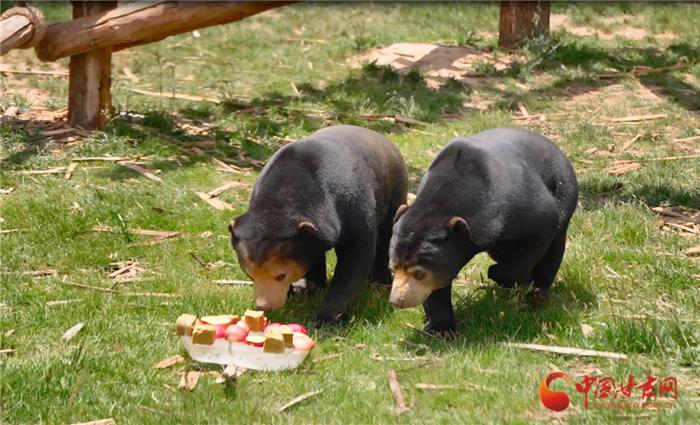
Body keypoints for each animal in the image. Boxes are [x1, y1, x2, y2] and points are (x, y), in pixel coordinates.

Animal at [230, 124, 408, 322]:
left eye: (281, 275)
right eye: (249, 275)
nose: (264, 306)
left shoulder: (353, 205)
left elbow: (356, 256)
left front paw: (327, 319)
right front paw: (305, 289)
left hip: (395, 187)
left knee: (386, 233)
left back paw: (380, 281)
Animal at [386, 127, 576, 332]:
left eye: (419, 273)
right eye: (393, 268)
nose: (397, 301)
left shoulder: (521, 207)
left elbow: (542, 226)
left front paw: (508, 275)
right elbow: (438, 284)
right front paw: (441, 328)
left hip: (563, 189)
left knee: (555, 246)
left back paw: (538, 293)